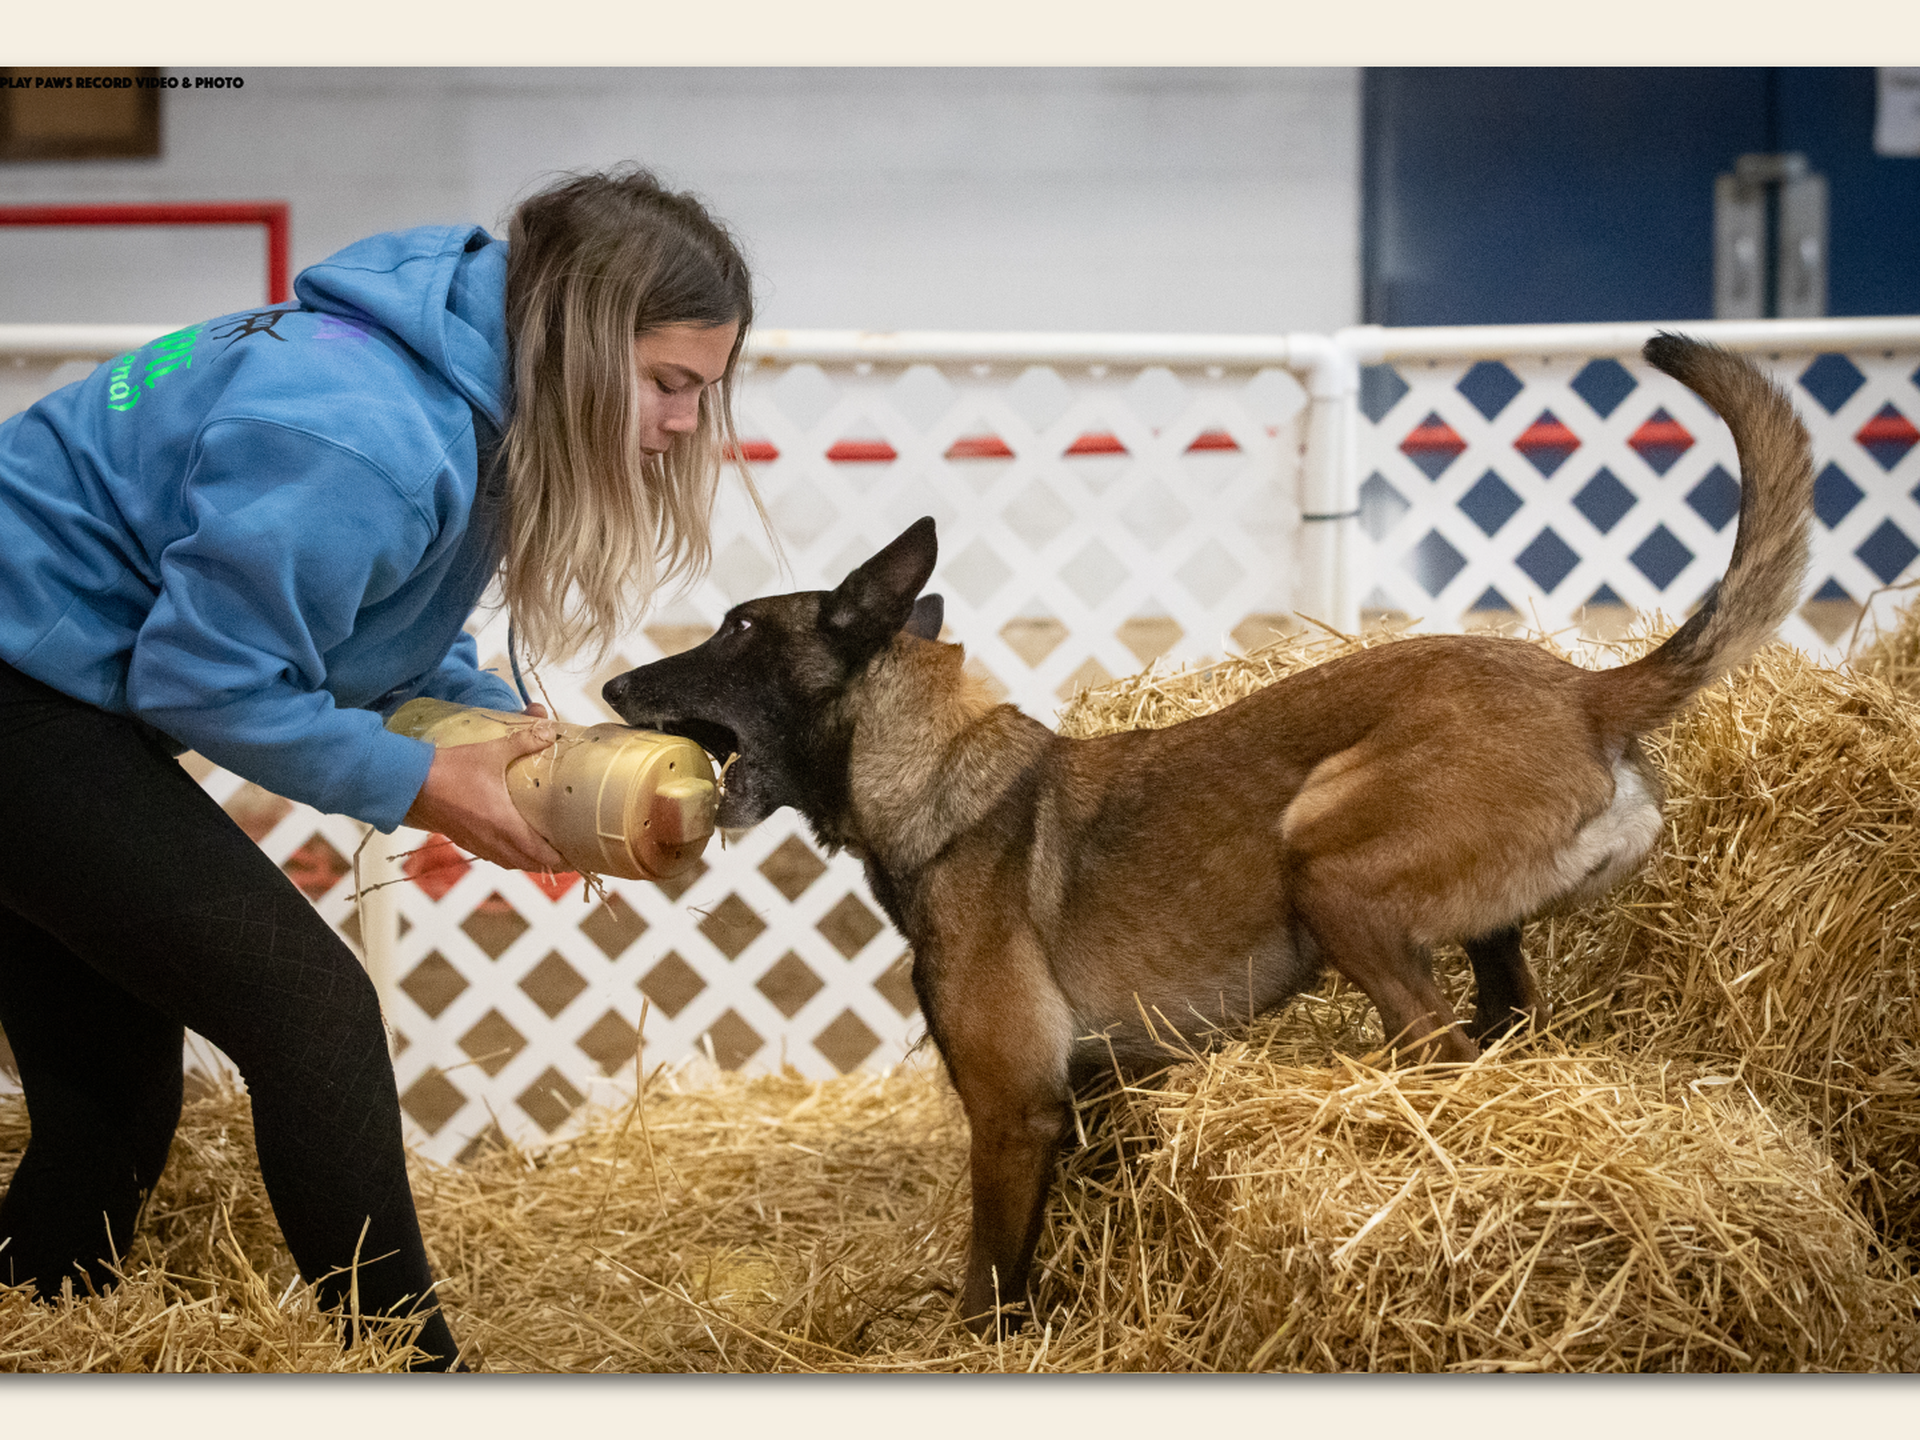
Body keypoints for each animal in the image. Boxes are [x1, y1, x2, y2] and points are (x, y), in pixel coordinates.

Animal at [602, 332, 1812, 1336]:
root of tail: (1585, 693)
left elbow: (987, 1279)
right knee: (1497, 1021)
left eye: (737, 630)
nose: (613, 684)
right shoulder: (1085, 1104)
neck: (941, 783)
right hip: (1471, 930)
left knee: (1436, 1040)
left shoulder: (1012, 1114)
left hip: (1324, 860)